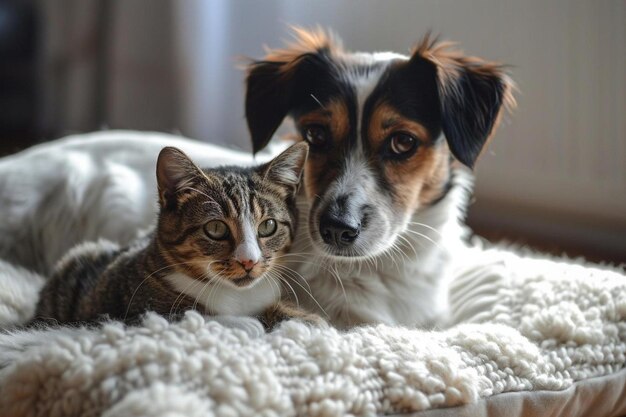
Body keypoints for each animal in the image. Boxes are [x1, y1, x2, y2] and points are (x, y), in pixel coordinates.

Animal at [31, 141, 320, 330]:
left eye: (268, 226)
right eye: (216, 229)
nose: (249, 261)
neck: (235, 296)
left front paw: (305, 318)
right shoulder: (132, 313)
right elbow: (192, 316)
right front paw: (249, 323)